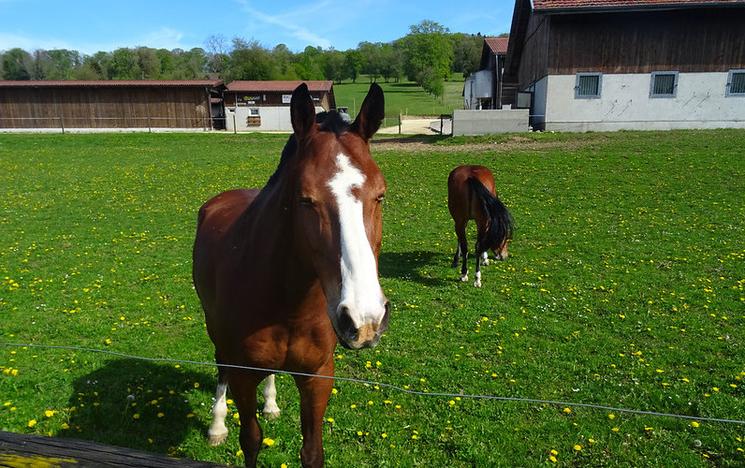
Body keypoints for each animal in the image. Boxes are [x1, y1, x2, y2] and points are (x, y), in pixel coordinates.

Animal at [192, 84, 390, 468]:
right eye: (305, 199)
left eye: (381, 195)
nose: (365, 320)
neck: (288, 305)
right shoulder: (243, 375)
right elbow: (251, 440)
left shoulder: (317, 377)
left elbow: (312, 451)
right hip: (216, 332)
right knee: (220, 367)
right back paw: (217, 425)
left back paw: (270, 404)